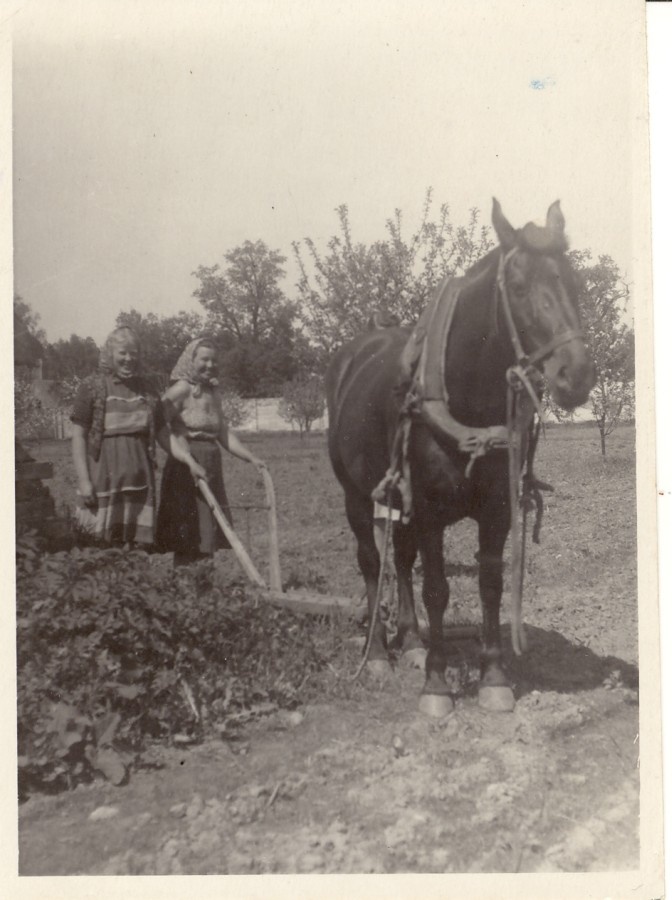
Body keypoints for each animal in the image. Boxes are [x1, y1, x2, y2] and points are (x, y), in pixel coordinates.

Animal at [326, 200, 592, 712]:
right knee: (371, 560)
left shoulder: (497, 510)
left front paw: (493, 677)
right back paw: (378, 655)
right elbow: (437, 589)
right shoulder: (429, 510)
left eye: (574, 283)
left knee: (401, 559)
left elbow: (490, 584)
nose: (577, 374)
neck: (465, 396)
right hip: (355, 494)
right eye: (519, 288)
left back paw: (411, 641)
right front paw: (437, 682)